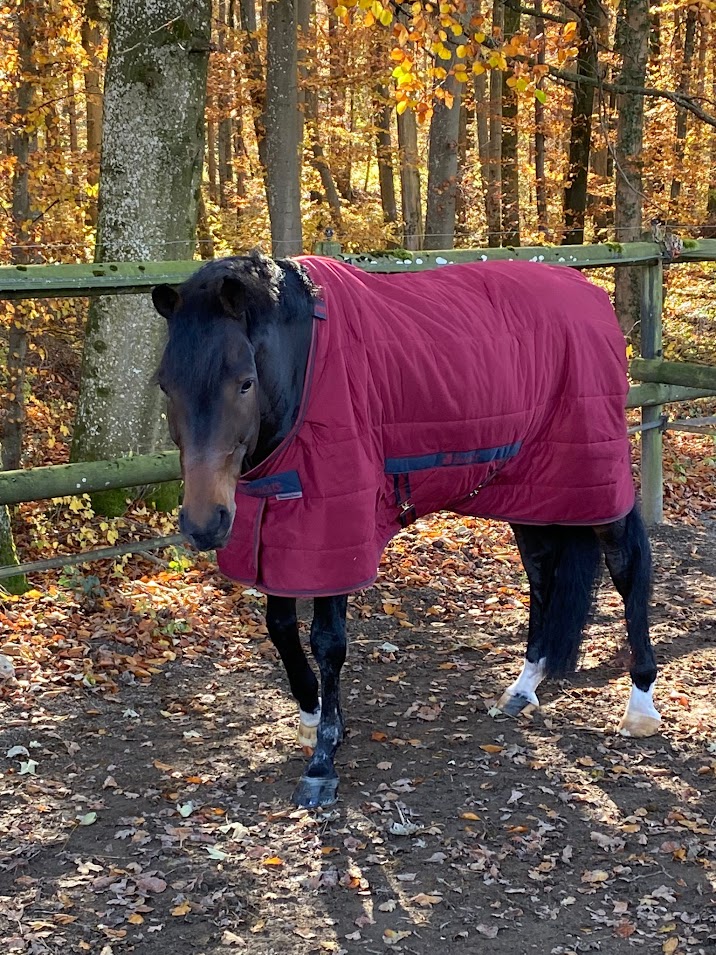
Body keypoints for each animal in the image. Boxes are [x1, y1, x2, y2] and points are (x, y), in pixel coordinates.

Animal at [152, 250, 660, 809]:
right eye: (166, 385)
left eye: (244, 381)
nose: (204, 524)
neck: (306, 366)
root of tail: (590, 295)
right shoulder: (283, 528)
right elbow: (281, 629)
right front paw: (312, 717)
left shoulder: (336, 533)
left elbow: (328, 642)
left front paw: (322, 761)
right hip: (533, 487)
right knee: (543, 574)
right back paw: (525, 685)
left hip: (594, 479)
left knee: (627, 569)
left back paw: (640, 705)